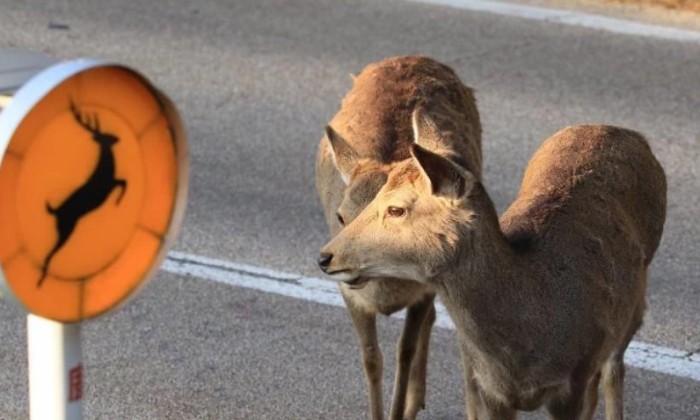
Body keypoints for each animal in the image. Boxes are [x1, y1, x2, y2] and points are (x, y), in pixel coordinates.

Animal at [316, 56, 482, 420]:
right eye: (340, 216)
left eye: (392, 212)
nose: (334, 261)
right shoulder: (350, 296)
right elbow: (371, 358)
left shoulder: (424, 288)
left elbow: (404, 353)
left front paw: (397, 409)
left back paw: (414, 401)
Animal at [320, 116, 664, 418]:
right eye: (343, 213)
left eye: (396, 209)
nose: (325, 257)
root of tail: (627, 134)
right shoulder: (491, 390)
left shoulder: (571, 382)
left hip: (634, 303)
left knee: (613, 370)